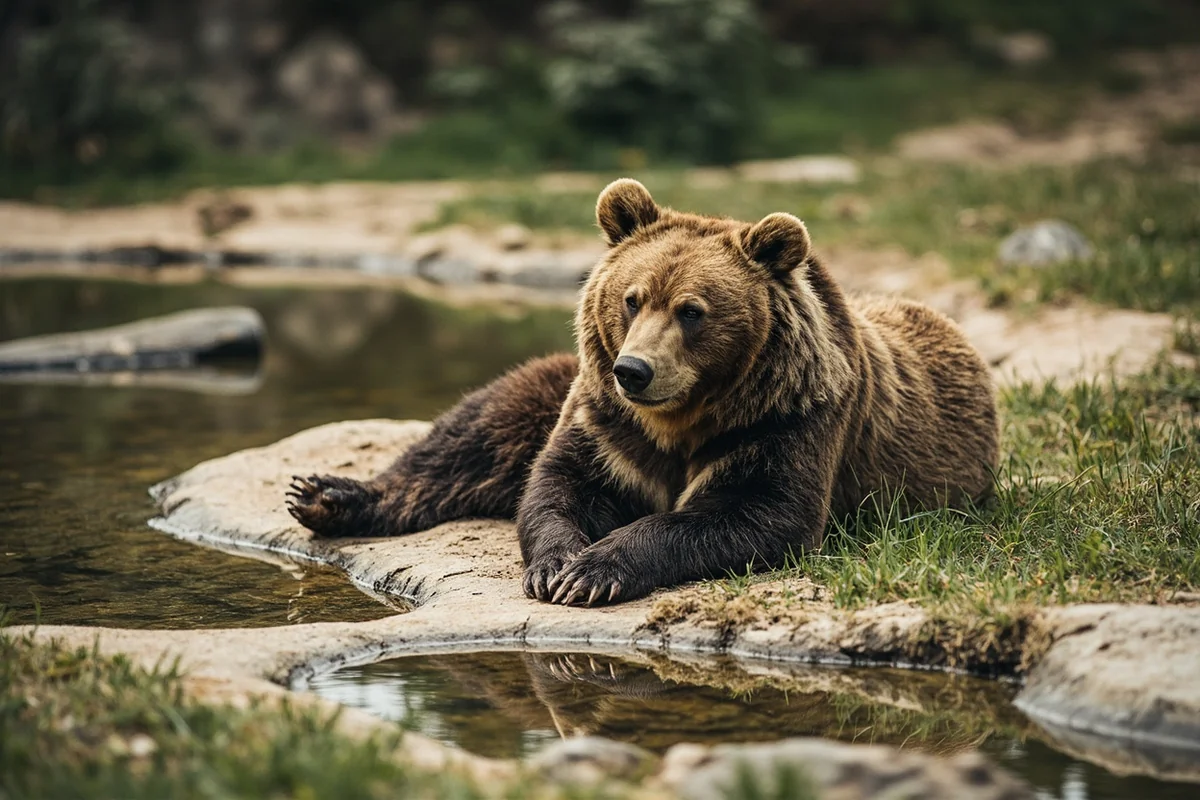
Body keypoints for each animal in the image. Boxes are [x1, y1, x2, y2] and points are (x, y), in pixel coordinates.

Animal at [287, 178, 999, 607]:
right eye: (632, 299)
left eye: (692, 311)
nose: (635, 370)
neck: (682, 419)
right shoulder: (604, 422)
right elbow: (555, 485)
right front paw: (558, 565)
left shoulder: (786, 422)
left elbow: (753, 511)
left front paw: (594, 572)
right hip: (549, 388)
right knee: (475, 433)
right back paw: (324, 495)